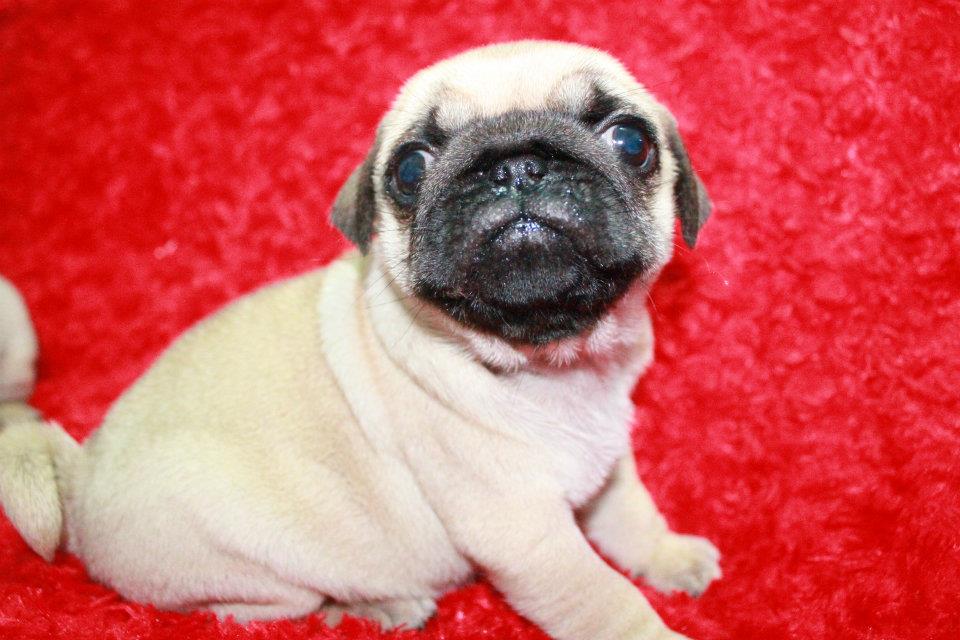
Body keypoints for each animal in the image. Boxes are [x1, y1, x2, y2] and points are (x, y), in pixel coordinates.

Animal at [0, 41, 719, 640]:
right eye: (410, 168)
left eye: (629, 139)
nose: (516, 164)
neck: (553, 361)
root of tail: (79, 478)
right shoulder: (523, 531)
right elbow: (603, 599)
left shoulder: (608, 465)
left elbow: (631, 517)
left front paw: (669, 555)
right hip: (251, 558)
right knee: (261, 607)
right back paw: (381, 604)